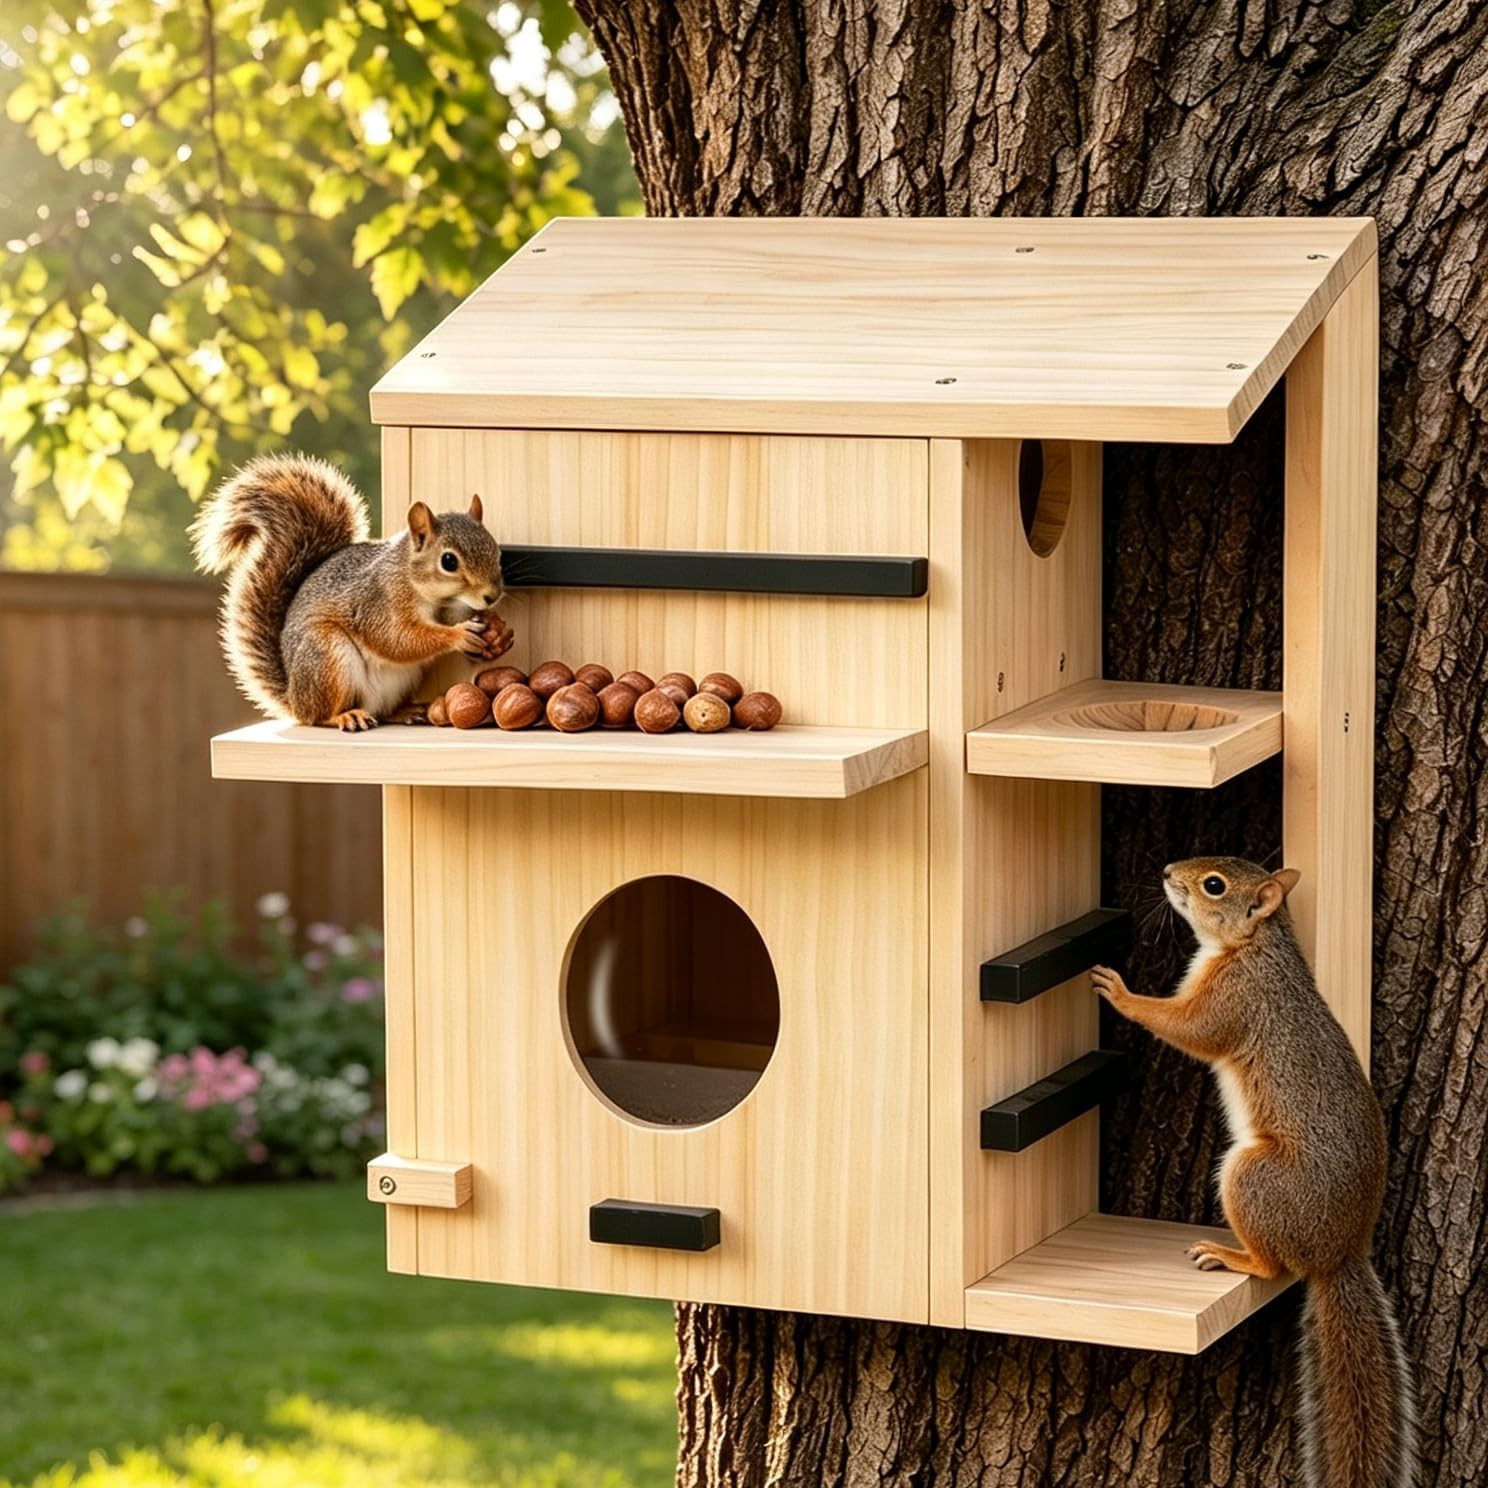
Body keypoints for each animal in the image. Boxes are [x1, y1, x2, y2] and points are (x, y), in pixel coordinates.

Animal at [190, 453, 512, 731]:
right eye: (448, 561)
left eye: (496, 551)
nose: (491, 596)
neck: (419, 586)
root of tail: (295, 698)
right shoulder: (378, 602)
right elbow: (398, 639)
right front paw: (458, 635)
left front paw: (497, 632)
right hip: (326, 654)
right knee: (319, 716)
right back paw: (345, 716)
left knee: (382, 711)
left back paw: (406, 711)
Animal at [1092, 858, 1415, 1488]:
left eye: (1214, 885)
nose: (1167, 871)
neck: (1253, 946)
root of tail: (1339, 1251)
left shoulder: (1234, 1000)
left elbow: (1189, 1028)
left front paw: (1121, 994)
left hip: (1254, 1176)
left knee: (1273, 1265)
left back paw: (1232, 1255)